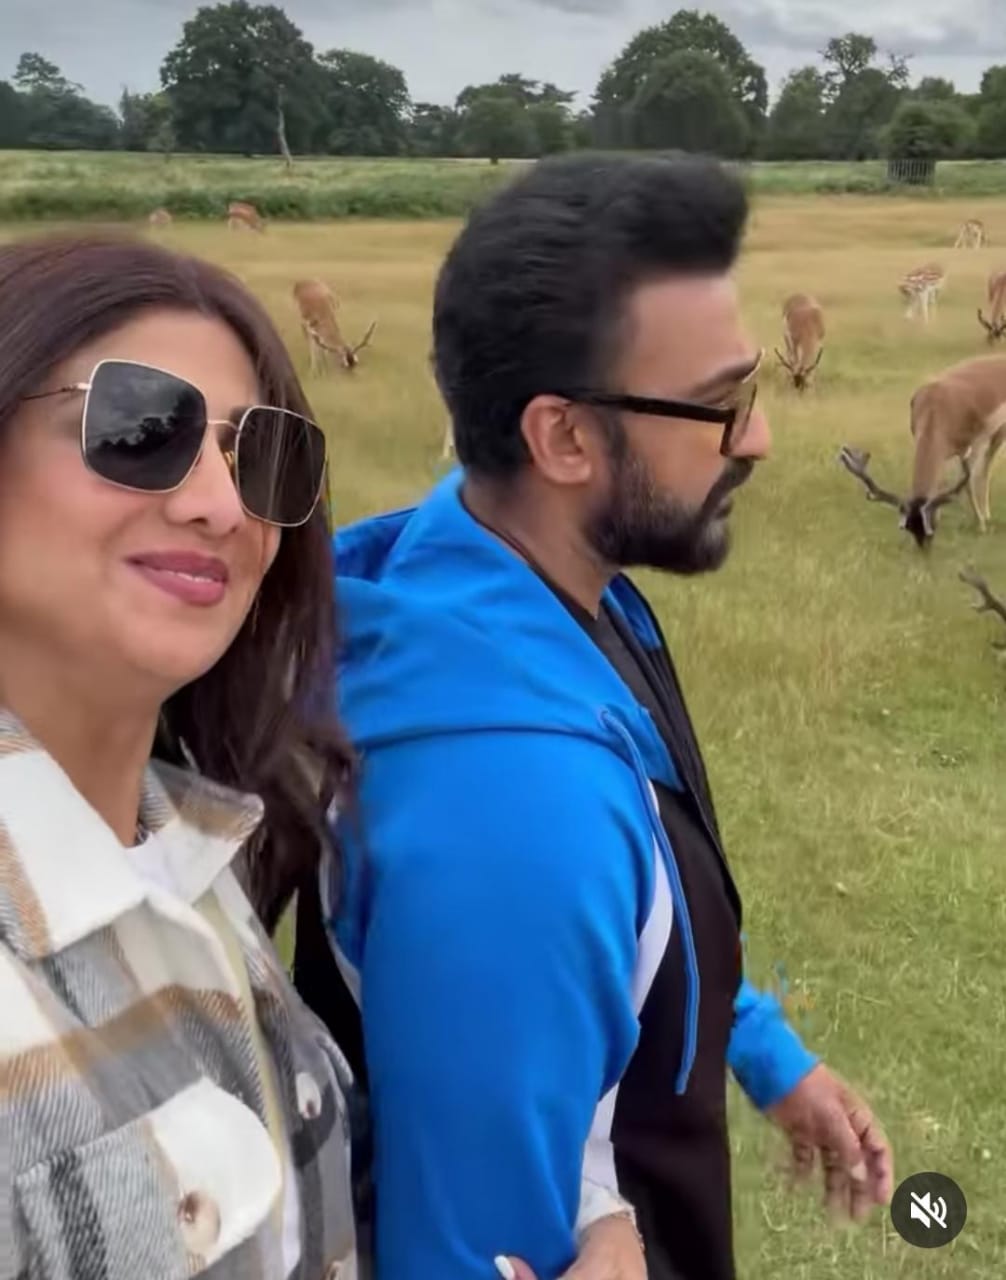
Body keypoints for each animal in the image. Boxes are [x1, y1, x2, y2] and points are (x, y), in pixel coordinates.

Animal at [838, 354, 1006, 547]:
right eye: (906, 527)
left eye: (929, 530)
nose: (922, 549)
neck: (938, 407)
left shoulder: (976, 442)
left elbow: (969, 482)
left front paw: (981, 525)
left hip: (997, 435)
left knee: (985, 469)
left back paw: (986, 517)